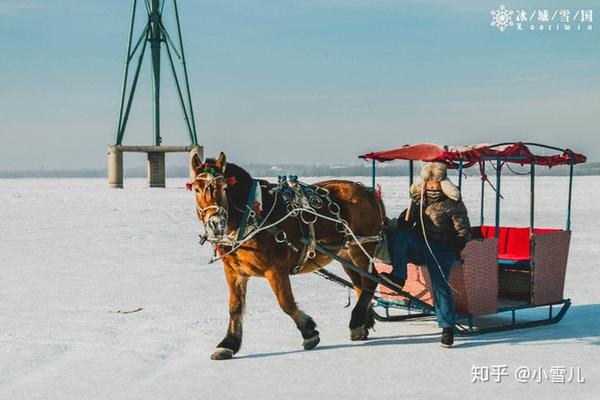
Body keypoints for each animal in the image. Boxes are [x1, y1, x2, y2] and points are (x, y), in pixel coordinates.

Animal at [190, 153, 384, 360]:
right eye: (196, 189)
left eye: (225, 187)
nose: (216, 223)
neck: (252, 215)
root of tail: (367, 191)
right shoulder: (234, 271)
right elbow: (235, 307)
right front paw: (228, 343)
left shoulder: (276, 269)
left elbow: (286, 303)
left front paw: (309, 332)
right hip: (346, 255)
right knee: (360, 285)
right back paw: (363, 322)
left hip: (361, 247)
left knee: (371, 280)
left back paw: (356, 322)